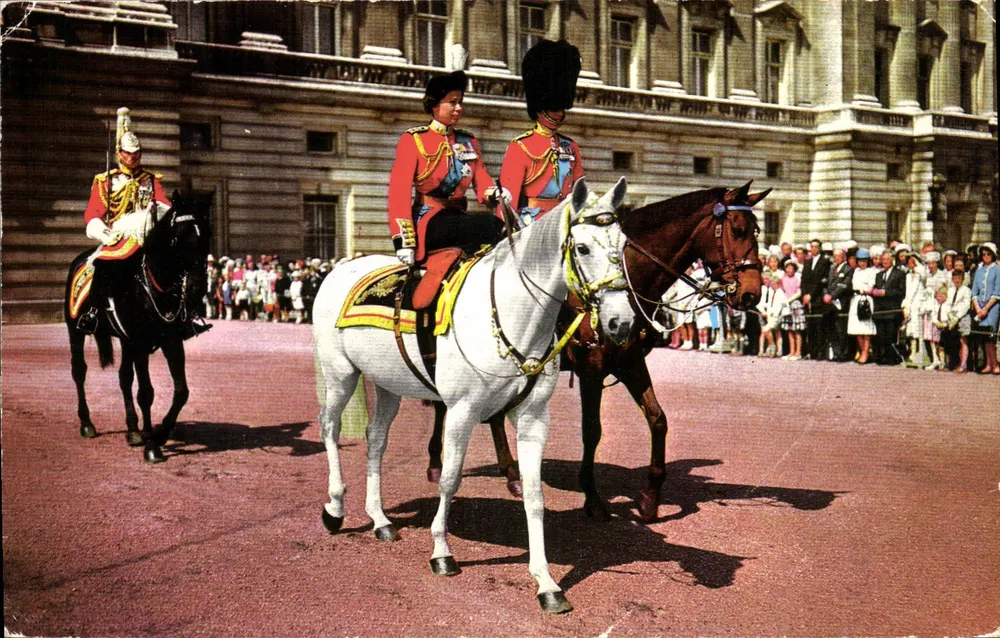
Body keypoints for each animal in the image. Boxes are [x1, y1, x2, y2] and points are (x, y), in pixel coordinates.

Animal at [65, 192, 211, 463]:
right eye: (179, 237)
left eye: (206, 235)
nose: (197, 290)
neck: (154, 285)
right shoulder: (142, 343)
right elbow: (146, 393)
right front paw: (152, 446)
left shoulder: (171, 341)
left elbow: (181, 391)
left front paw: (160, 433)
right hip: (76, 331)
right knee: (79, 372)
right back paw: (87, 424)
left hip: (126, 341)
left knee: (124, 377)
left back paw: (133, 430)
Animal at [312, 177, 633, 613]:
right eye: (581, 248)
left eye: (624, 244)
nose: (622, 322)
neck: (515, 314)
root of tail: (343, 265)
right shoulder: (461, 411)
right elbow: (449, 479)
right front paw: (442, 552)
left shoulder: (533, 417)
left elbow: (534, 495)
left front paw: (546, 583)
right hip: (341, 374)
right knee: (329, 429)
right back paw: (335, 507)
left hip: (388, 383)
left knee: (375, 440)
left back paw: (380, 520)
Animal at [427, 181, 770, 522]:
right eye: (738, 230)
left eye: (757, 230)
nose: (752, 294)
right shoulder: (591, 369)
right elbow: (592, 431)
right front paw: (592, 498)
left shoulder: (630, 363)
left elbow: (658, 419)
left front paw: (650, 498)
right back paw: (439, 464)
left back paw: (511, 475)